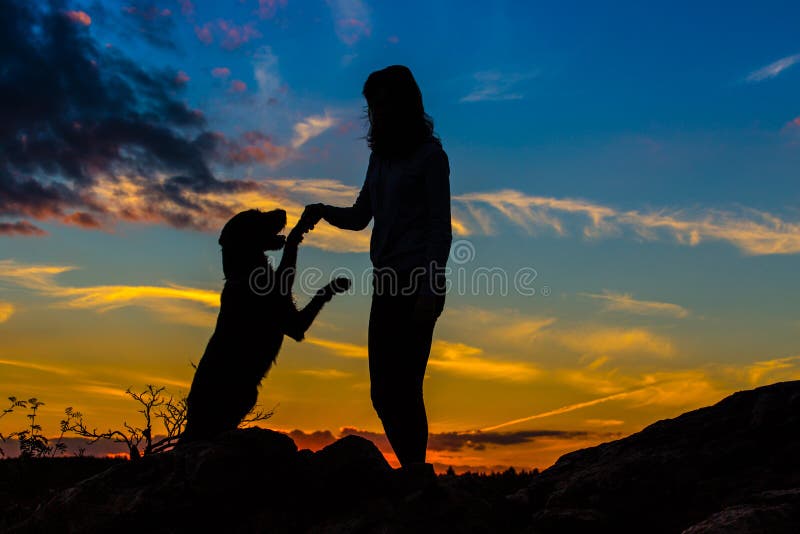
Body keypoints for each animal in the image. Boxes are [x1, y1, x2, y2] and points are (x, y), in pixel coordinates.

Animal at [181, 209, 350, 444]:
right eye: (256, 216)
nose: (283, 211)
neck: (244, 271)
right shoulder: (294, 325)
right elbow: (314, 288)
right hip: (242, 395)